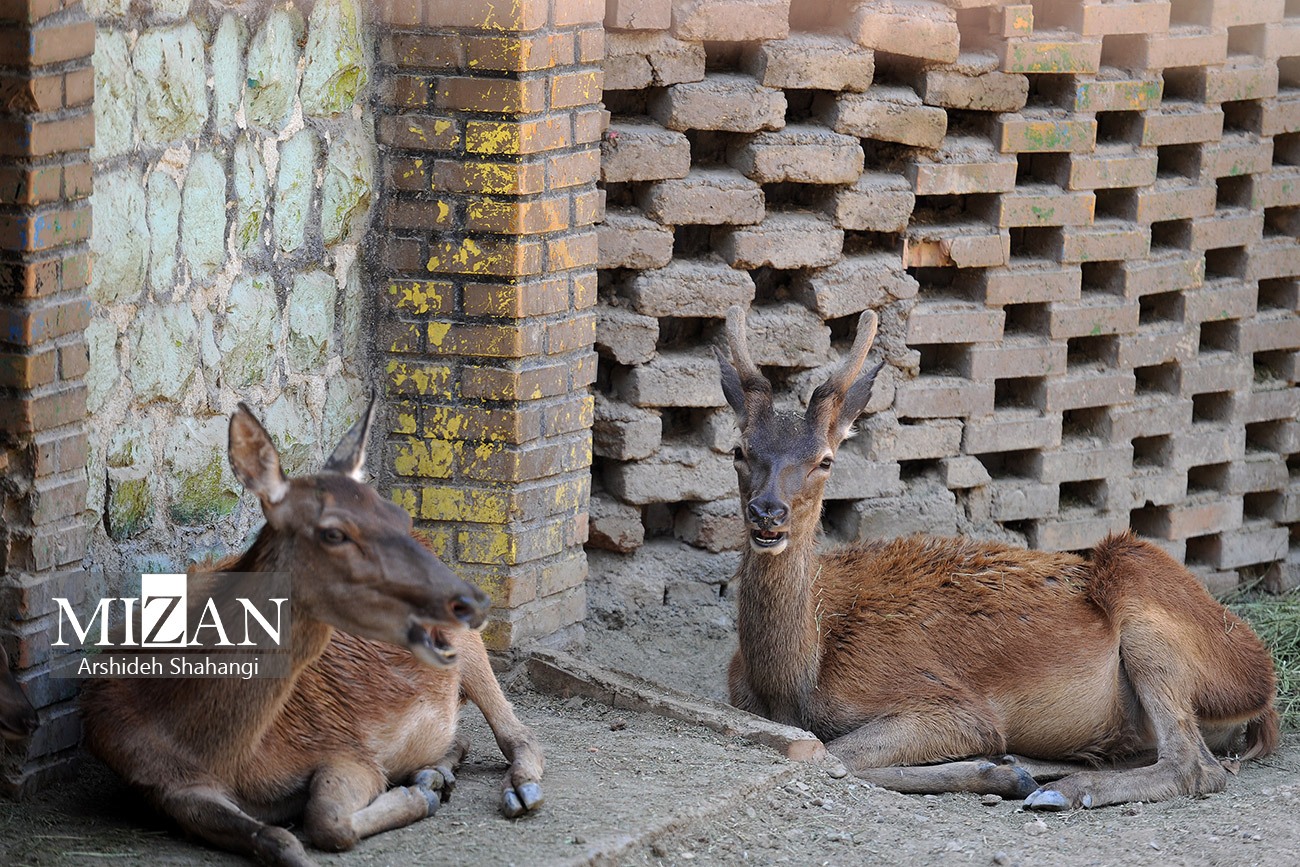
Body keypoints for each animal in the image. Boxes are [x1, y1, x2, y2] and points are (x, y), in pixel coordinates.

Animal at [79, 401, 544, 866]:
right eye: (334, 532)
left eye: (397, 514)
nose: (472, 603)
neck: (217, 753)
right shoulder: (158, 782)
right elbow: (276, 838)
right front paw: (421, 789)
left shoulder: (348, 750)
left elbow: (325, 819)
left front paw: (417, 798)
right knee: (462, 735)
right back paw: (437, 772)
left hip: (472, 652)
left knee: (517, 733)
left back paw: (514, 788)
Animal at [715, 305, 1278, 810]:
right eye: (738, 451)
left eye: (825, 460)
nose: (767, 513)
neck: (793, 682)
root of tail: (1263, 688)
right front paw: (1002, 770)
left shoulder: (948, 703)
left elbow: (830, 754)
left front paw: (998, 771)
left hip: (1143, 596)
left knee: (1197, 765)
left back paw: (1058, 789)